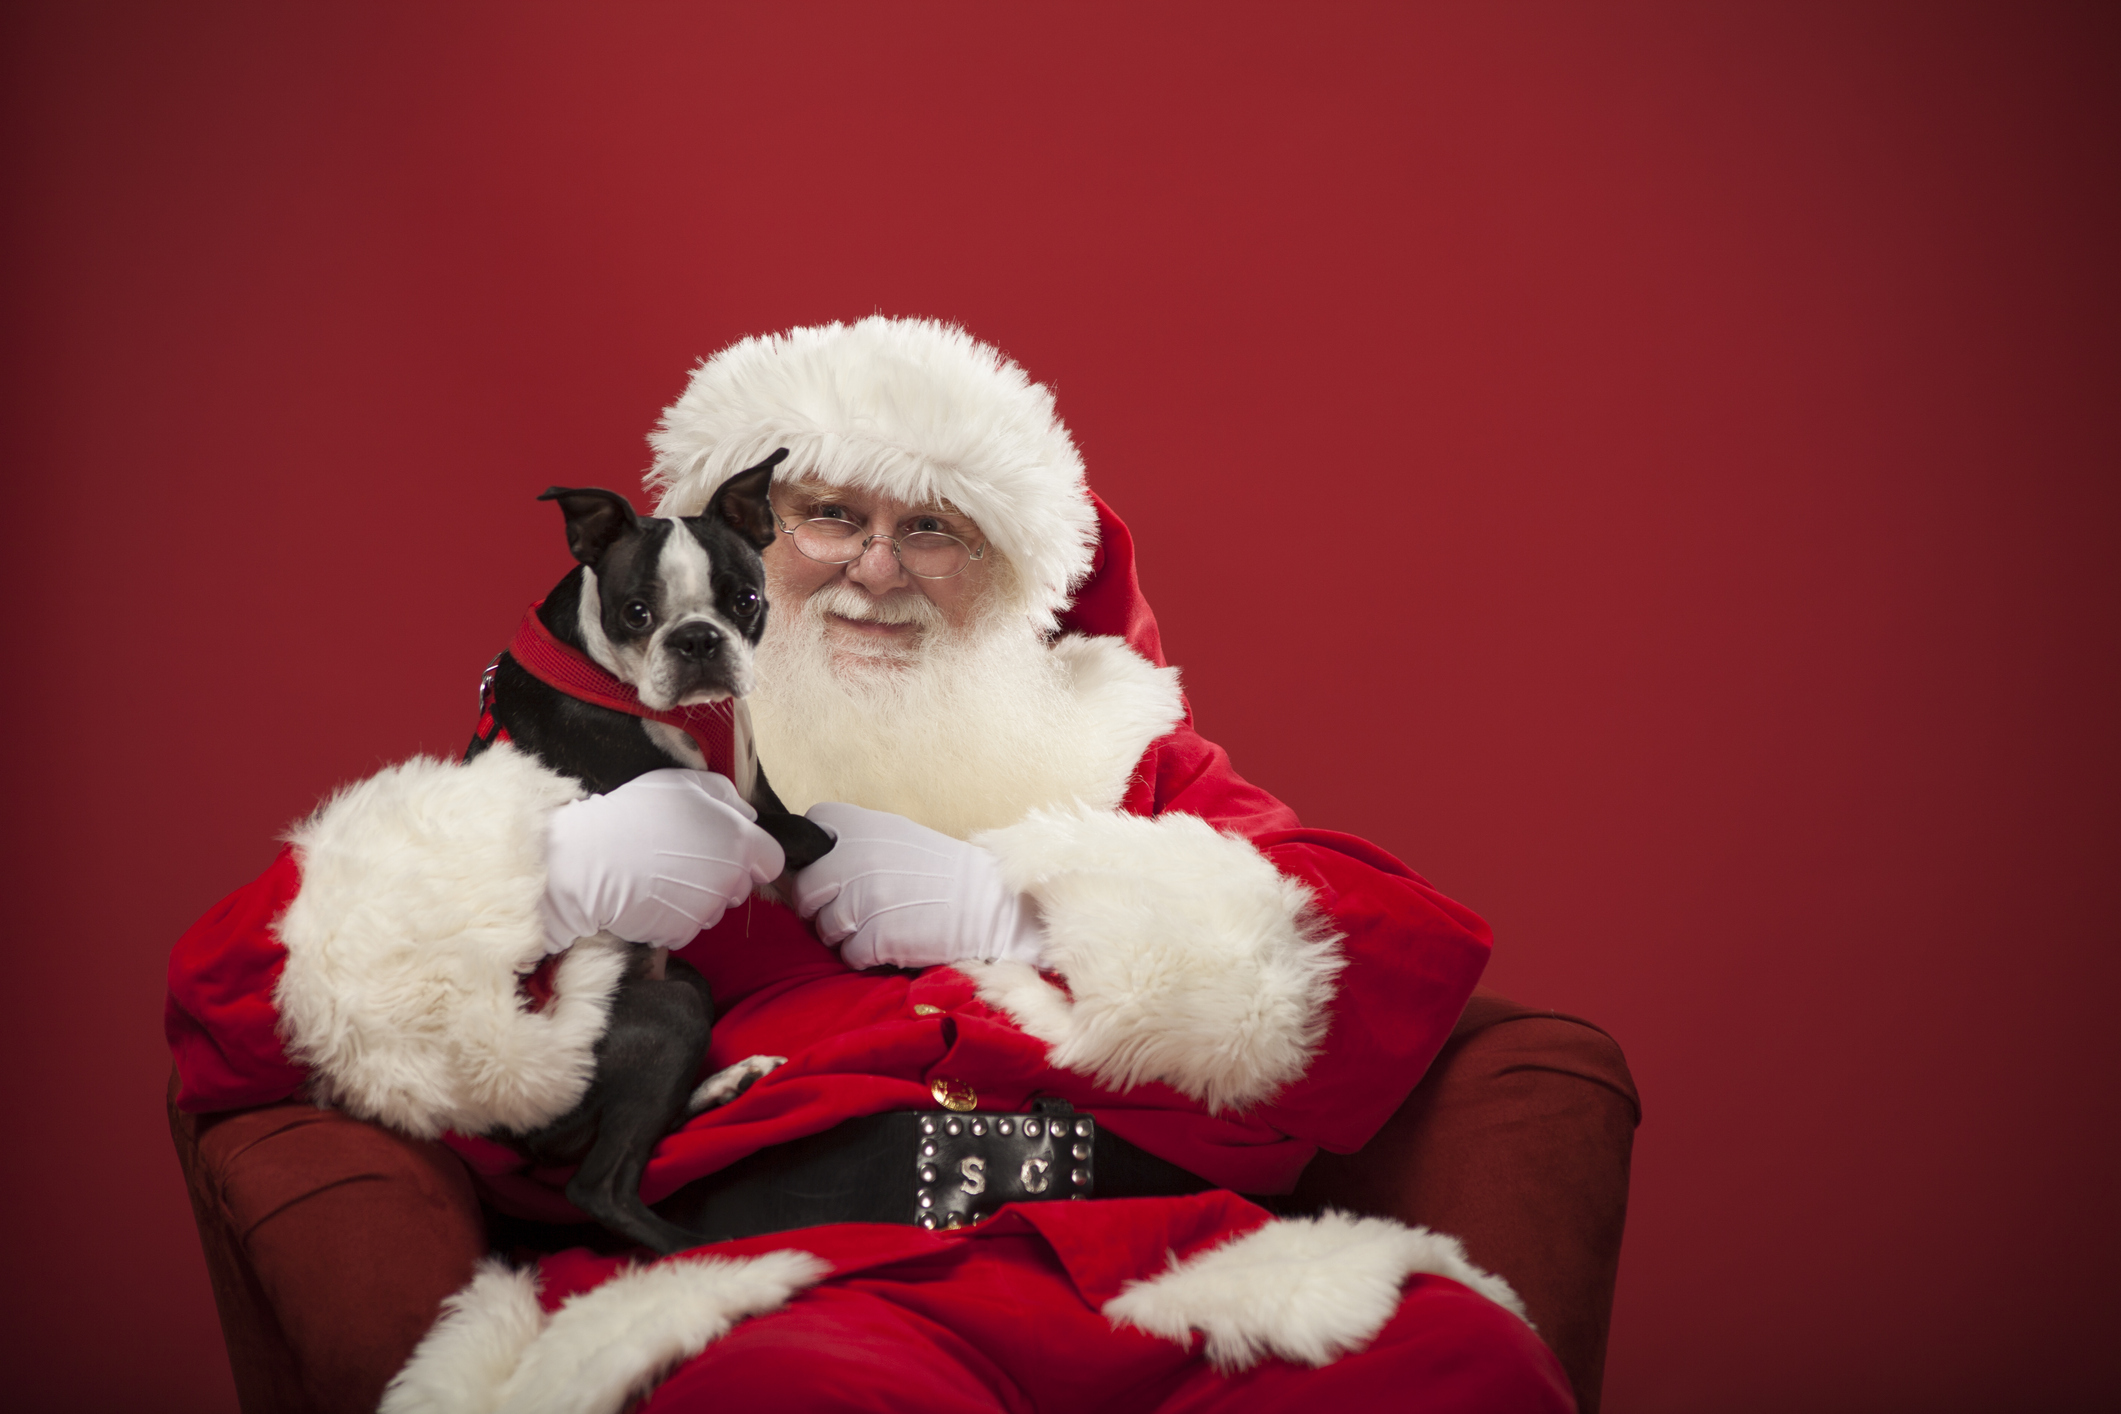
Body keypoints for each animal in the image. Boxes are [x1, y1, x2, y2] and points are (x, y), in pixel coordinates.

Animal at [470, 447, 827, 1255]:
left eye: (745, 600)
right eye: (636, 612)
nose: (697, 640)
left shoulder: (758, 796)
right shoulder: (747, 819)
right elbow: (819, 838)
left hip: (685, 983)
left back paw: (732, 1083)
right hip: (660, 1014)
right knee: (599, 1186)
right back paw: (706, 1252)